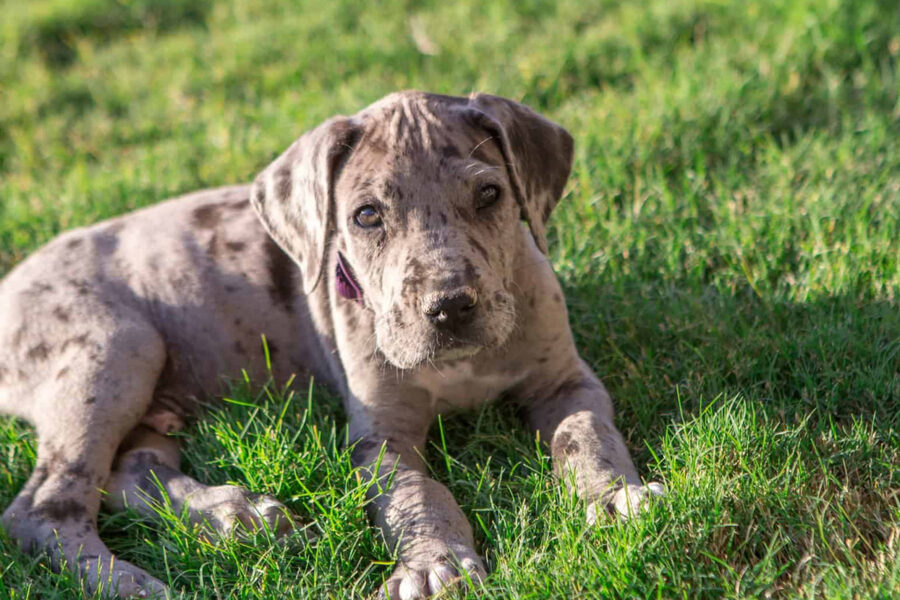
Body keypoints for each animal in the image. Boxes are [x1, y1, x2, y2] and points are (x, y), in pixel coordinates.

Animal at [0, 91, 660, 596]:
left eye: (490, 195)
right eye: (367, 216)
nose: (449, 308)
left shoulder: (566, 380)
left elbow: (585, 435)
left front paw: (615, 499)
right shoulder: (380, 437)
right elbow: (418, 494)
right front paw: (434, 563)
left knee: (128, 469)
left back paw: (238, 515)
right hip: (115, 348)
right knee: (40, 509)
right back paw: (132, 581)